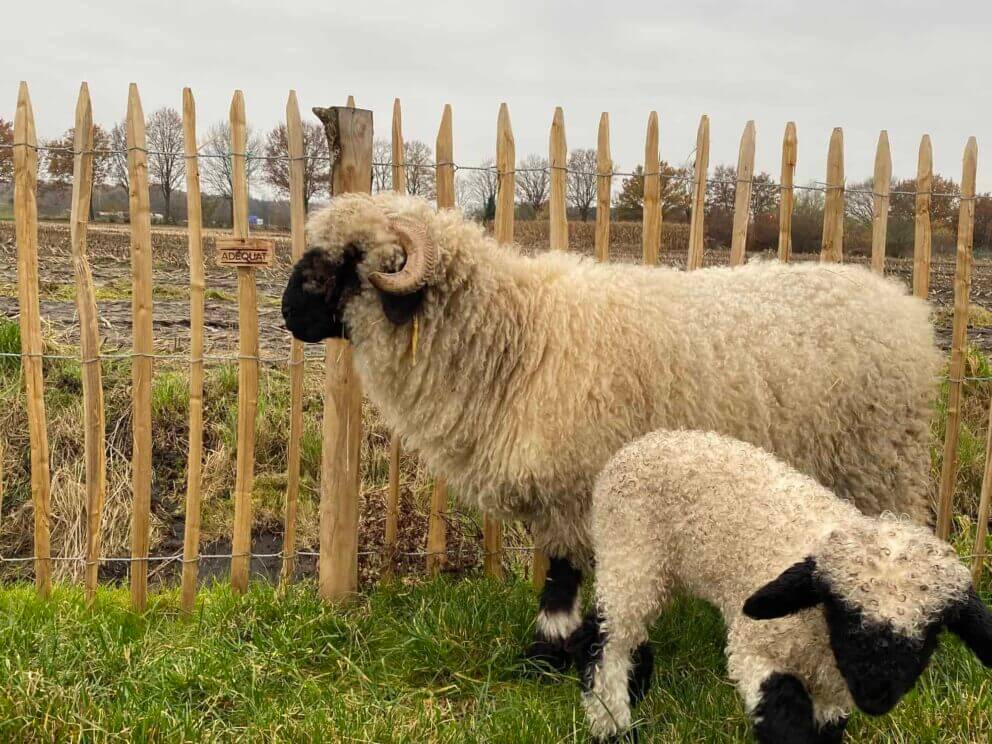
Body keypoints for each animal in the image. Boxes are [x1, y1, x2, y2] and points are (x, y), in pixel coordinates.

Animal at [282, 192, 940, 664]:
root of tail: (901, 303)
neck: (516, 336)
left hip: (882, 460)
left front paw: (553, 652)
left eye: (350, 260)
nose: (288, 314)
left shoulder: (576, 481)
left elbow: (563, 573)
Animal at [572, 430, 992, 744]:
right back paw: (612, 724)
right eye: (845, 613)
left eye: (931, 632)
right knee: (607, 636)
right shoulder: (756, 648)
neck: (819, 638)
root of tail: (643, 442)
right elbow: (781, 715)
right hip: (630, 550)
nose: (875, 696)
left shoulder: (831, 694)